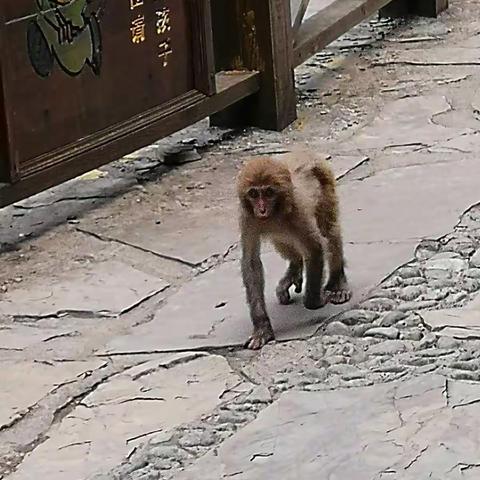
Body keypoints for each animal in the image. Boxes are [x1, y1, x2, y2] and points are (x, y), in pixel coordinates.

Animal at [238, 150, 350, 348]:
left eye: (269, 192)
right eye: (253, 193)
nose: (261, 209)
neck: (275, 213)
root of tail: (306, 152)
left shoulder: (297, 212)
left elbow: (315, 247)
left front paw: (315, 301)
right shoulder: (248, 219)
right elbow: (251, 263)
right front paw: (262, 328)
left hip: (326, 188)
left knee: (329, 232)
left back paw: (337, 282)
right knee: (284, 242)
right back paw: (294, 269)